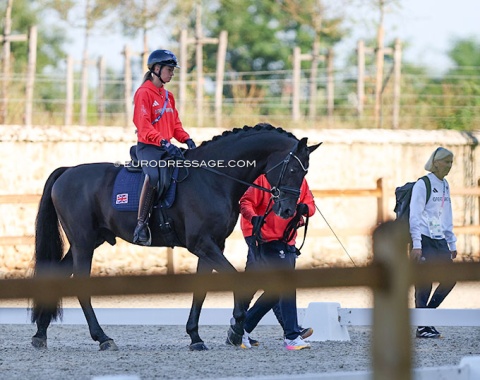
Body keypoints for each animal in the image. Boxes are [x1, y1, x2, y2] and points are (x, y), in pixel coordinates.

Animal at [31, 123, 320, 352]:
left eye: (305, 172)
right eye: (293, 170)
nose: (288, 211)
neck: (213, 178)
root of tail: (67, 171)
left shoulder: (212, 245)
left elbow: (200, 291)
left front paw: (195, 337)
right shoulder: (202, 244)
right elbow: (236, 280)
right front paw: (237, 328)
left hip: (88, 242)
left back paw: (40, 334)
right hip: (83, 243)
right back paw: (102, 338)